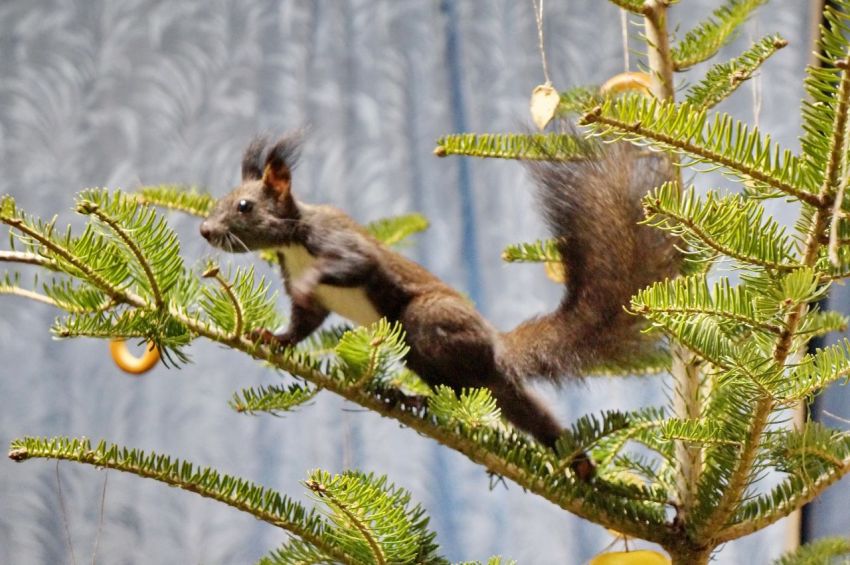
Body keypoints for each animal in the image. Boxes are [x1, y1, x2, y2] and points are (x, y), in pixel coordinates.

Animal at [197, 129, 676, 476]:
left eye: (244, 206)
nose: (205, 230)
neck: (293, 241)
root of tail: (495, 348)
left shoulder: (338, 240)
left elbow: (352, 265)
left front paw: (309, 283)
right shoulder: (306, 294)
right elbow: (303, 323)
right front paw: (272, 338)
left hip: (425, 322)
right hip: (446, 365)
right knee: (509, 406)